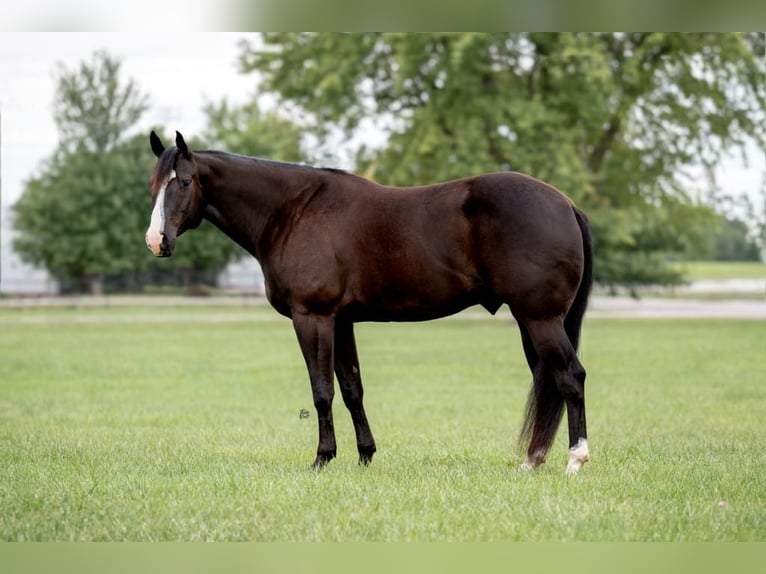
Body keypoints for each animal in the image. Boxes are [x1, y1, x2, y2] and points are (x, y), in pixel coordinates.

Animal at [145, 131, 594, 475]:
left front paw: (322, 458)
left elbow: (322, 390)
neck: (292, 210)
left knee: (570, 376)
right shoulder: (342, 321)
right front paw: (365, 456)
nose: (157, 241)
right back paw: (533, 461)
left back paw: (575, 460)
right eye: (153, 185)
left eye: (184, 182)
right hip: (531, 320)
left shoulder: (313, 317)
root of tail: (566, 204)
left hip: (540, 318)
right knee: (548, 380)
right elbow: (351, 389)